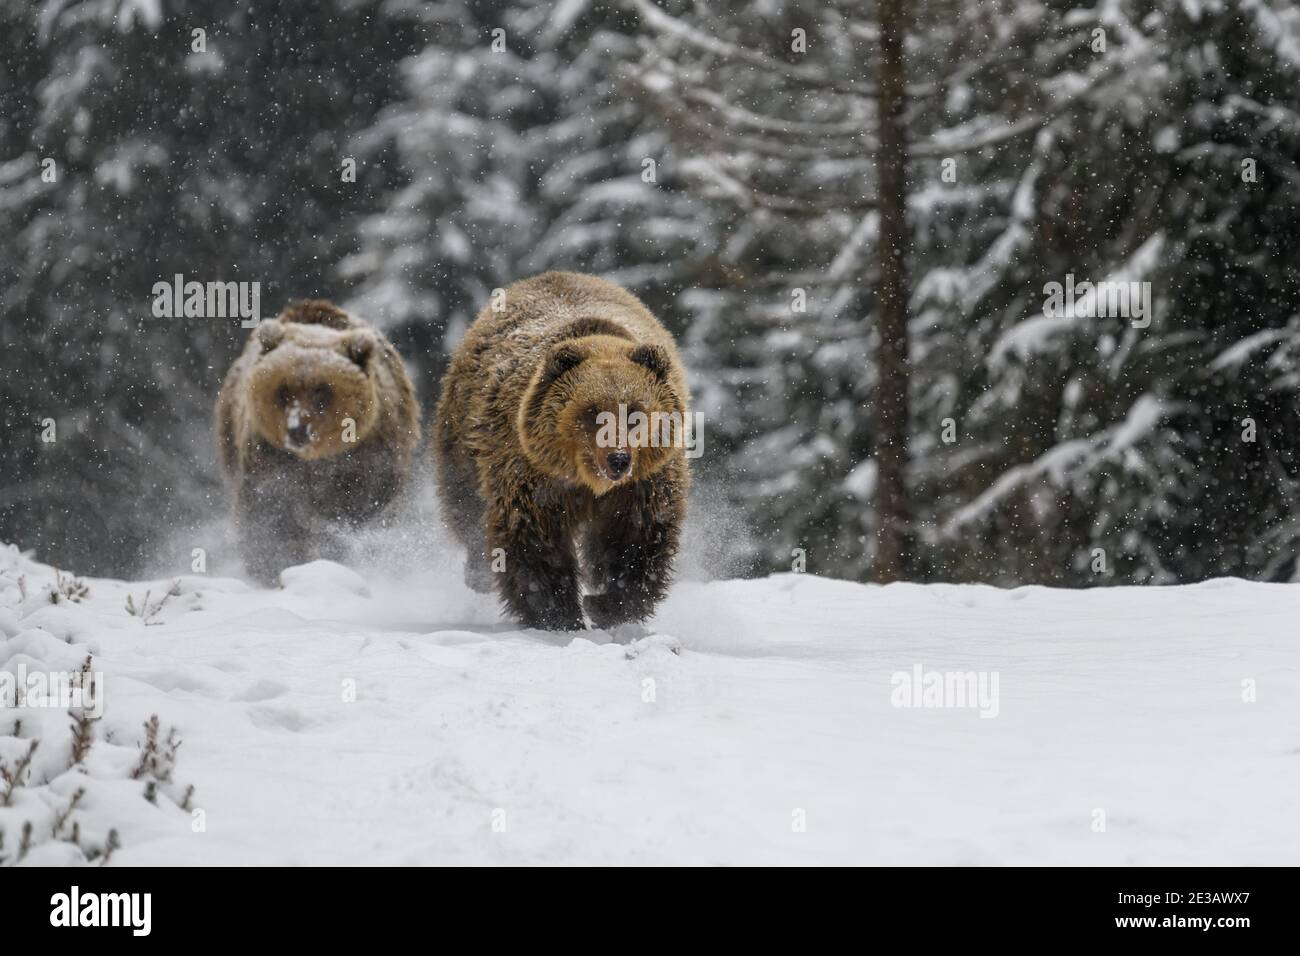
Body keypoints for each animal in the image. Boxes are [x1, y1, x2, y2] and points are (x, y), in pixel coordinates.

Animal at [217, 299, 421, 582]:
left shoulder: (366, 457)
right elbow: (268, 513)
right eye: (283, 390)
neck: (314, 461)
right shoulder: (269, 457)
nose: (297, 430)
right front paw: (276, 564)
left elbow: (357, 511)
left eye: (322, 393)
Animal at [434, 273, 691, 632]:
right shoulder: (534, 474)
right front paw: (558, 614)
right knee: (465, 503)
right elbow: (535, 538)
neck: (587, 482)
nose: (618, 459)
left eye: (635, 412)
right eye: (593, 411)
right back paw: (478, 573)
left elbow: (636, 536)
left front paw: (607, 604)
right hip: (464, 437)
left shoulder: (643, 482)